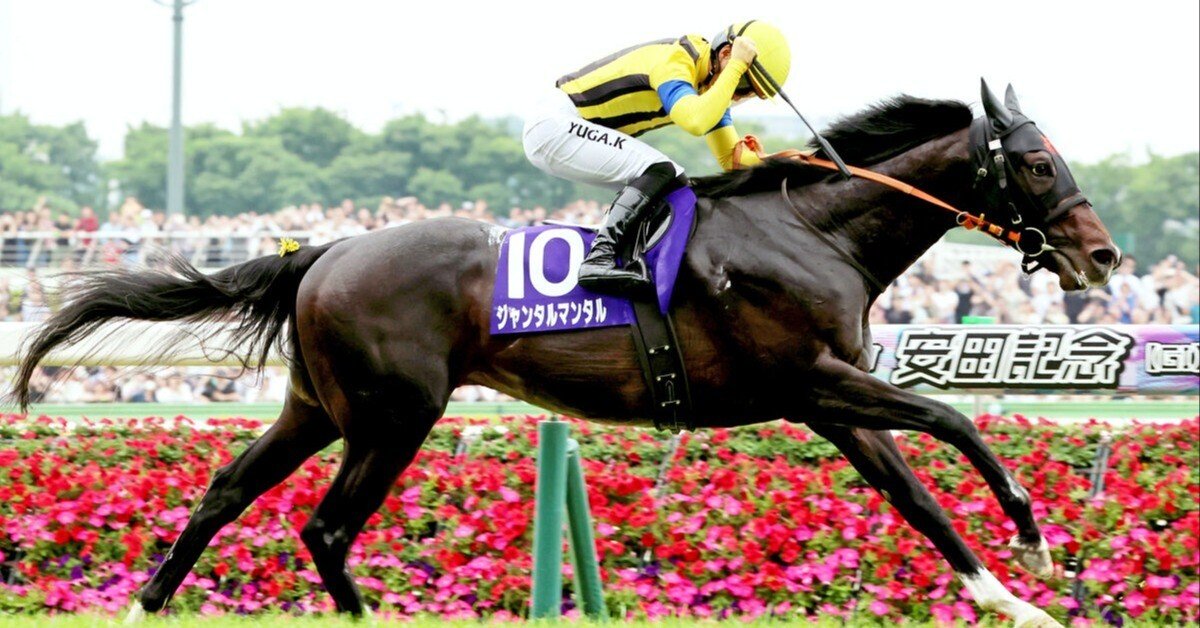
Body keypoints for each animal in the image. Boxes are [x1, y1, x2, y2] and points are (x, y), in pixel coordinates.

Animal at [13, 81, 1118, 627]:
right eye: (1035, 161)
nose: (1102, 253)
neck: (812, 231)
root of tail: (323, 251)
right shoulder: (812, 377)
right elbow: (954, 416)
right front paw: (1034, 540)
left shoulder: (826, 399)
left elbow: (918, 497)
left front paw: (1010, 598)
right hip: (394, 414)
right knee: (326, 526)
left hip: (318, 406)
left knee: (227, 493)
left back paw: (145, 604)